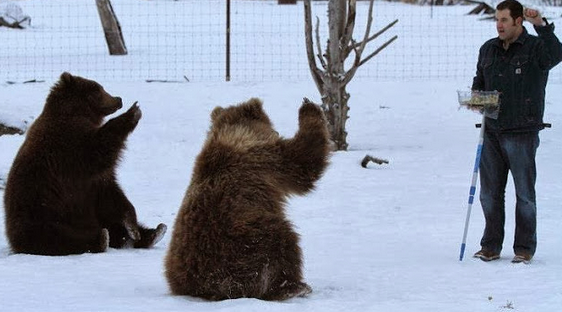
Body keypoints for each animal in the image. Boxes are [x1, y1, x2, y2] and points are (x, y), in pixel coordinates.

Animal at [3, 72, 165, 256]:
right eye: (99, 89)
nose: (118, 99)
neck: (78, 113)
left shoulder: (93, 182)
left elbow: (112, 194)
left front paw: (134, 229)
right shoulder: (69, 148)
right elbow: (96, 149)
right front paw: (132, 113)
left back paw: (153, 232)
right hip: (42, 210)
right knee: (55, 235)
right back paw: (100, 239)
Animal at [164, 98, 328, 302]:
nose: (275, 131)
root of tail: (201, 287)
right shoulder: (266, 158)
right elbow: (303, 161)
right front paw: (309, 109)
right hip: (241, 242)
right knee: (281, 240)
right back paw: (292, 286)